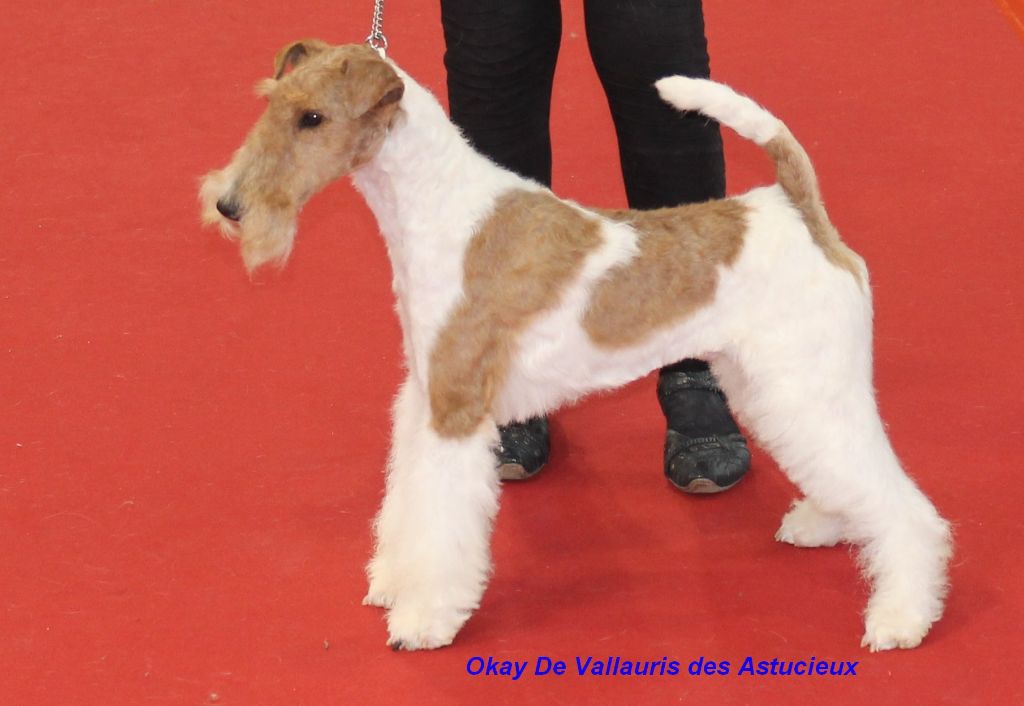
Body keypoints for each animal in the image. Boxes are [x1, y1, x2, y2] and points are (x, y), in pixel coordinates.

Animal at [199, 41, 950, 651]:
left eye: (312, 119)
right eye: (273, 104)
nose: (229, 206)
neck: (441, 212)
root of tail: (797, 209)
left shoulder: (455, 409)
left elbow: (441, 525)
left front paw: (423, 618)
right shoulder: (425, 399)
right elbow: (405, 501)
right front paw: (392, 579)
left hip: (809, 382)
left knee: (903, 504)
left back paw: (901, 616)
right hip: (770, 384)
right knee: (846, 472)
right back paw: (824, 522)